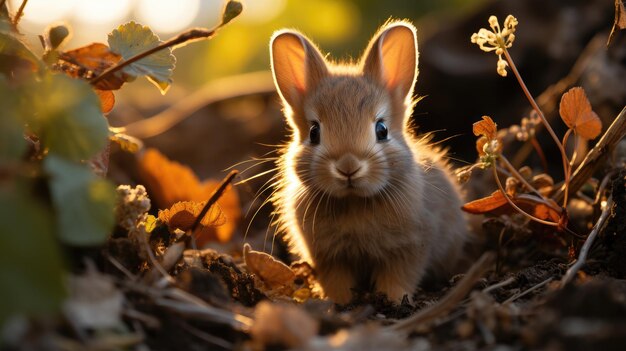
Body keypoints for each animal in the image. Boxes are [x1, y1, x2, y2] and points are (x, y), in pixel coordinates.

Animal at [266, 20, 466, 304]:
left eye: (381, 129)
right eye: (314, 132)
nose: (348, 167)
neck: (354, 202)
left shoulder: (410, 247)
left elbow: (399, 277)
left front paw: (394, 299)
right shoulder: (329, 258)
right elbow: (337, 282)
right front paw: (338, 303)